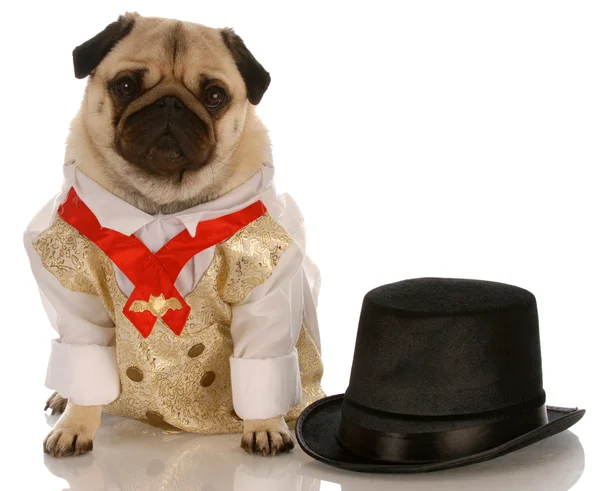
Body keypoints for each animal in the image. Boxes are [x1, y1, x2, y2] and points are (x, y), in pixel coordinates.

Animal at [24, 14, 324, 462]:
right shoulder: (76, 290)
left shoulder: (264, 286)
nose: (170, 104)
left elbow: (263, 365)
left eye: (214, 95)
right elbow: (85, 362)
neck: (163, 208)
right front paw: (75, 426)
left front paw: (265, 427)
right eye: (126, 85)